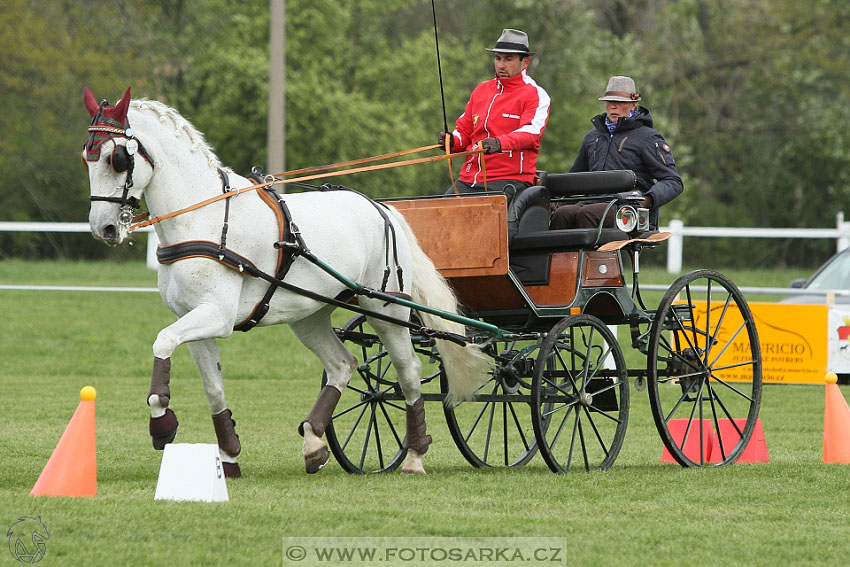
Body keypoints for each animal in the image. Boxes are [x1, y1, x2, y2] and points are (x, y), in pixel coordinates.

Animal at [84, 86, 490, 478]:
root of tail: (381, 208)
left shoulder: (216, 315)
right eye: (87, 157)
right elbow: (212, 388)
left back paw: (414, 455)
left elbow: (163, 341)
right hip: (310, 315)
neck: (207, 218)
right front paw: (228, 456)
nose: (104, 228)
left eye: (115, 159)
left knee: (409, 372)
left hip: (385, 307)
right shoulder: (193, 317)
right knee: (342, 365)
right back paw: (314, 443)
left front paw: (162, 425)